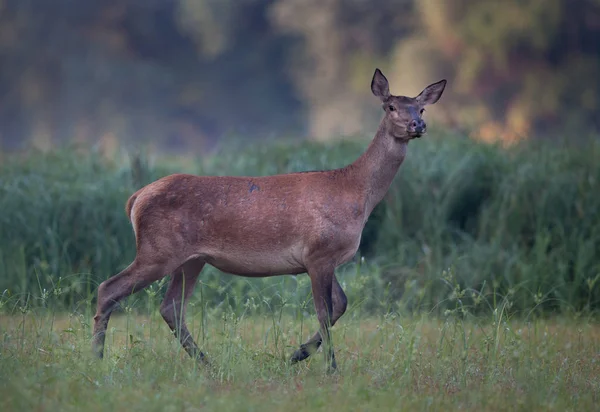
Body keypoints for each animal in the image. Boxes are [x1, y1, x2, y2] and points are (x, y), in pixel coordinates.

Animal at [90, 68, 446, 374]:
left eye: (421, 108)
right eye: (391, 106)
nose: (417, 125)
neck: (356, 194)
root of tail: (135, 199)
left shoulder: (325, 257)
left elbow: (340, 305)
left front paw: (297, 354)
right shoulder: (318, 252)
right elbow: (325, 310)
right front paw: (329, 367)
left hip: (191, 259)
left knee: (171, 307)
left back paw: (207, 363)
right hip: (158, 250)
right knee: (109, 288)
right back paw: (97, 359)